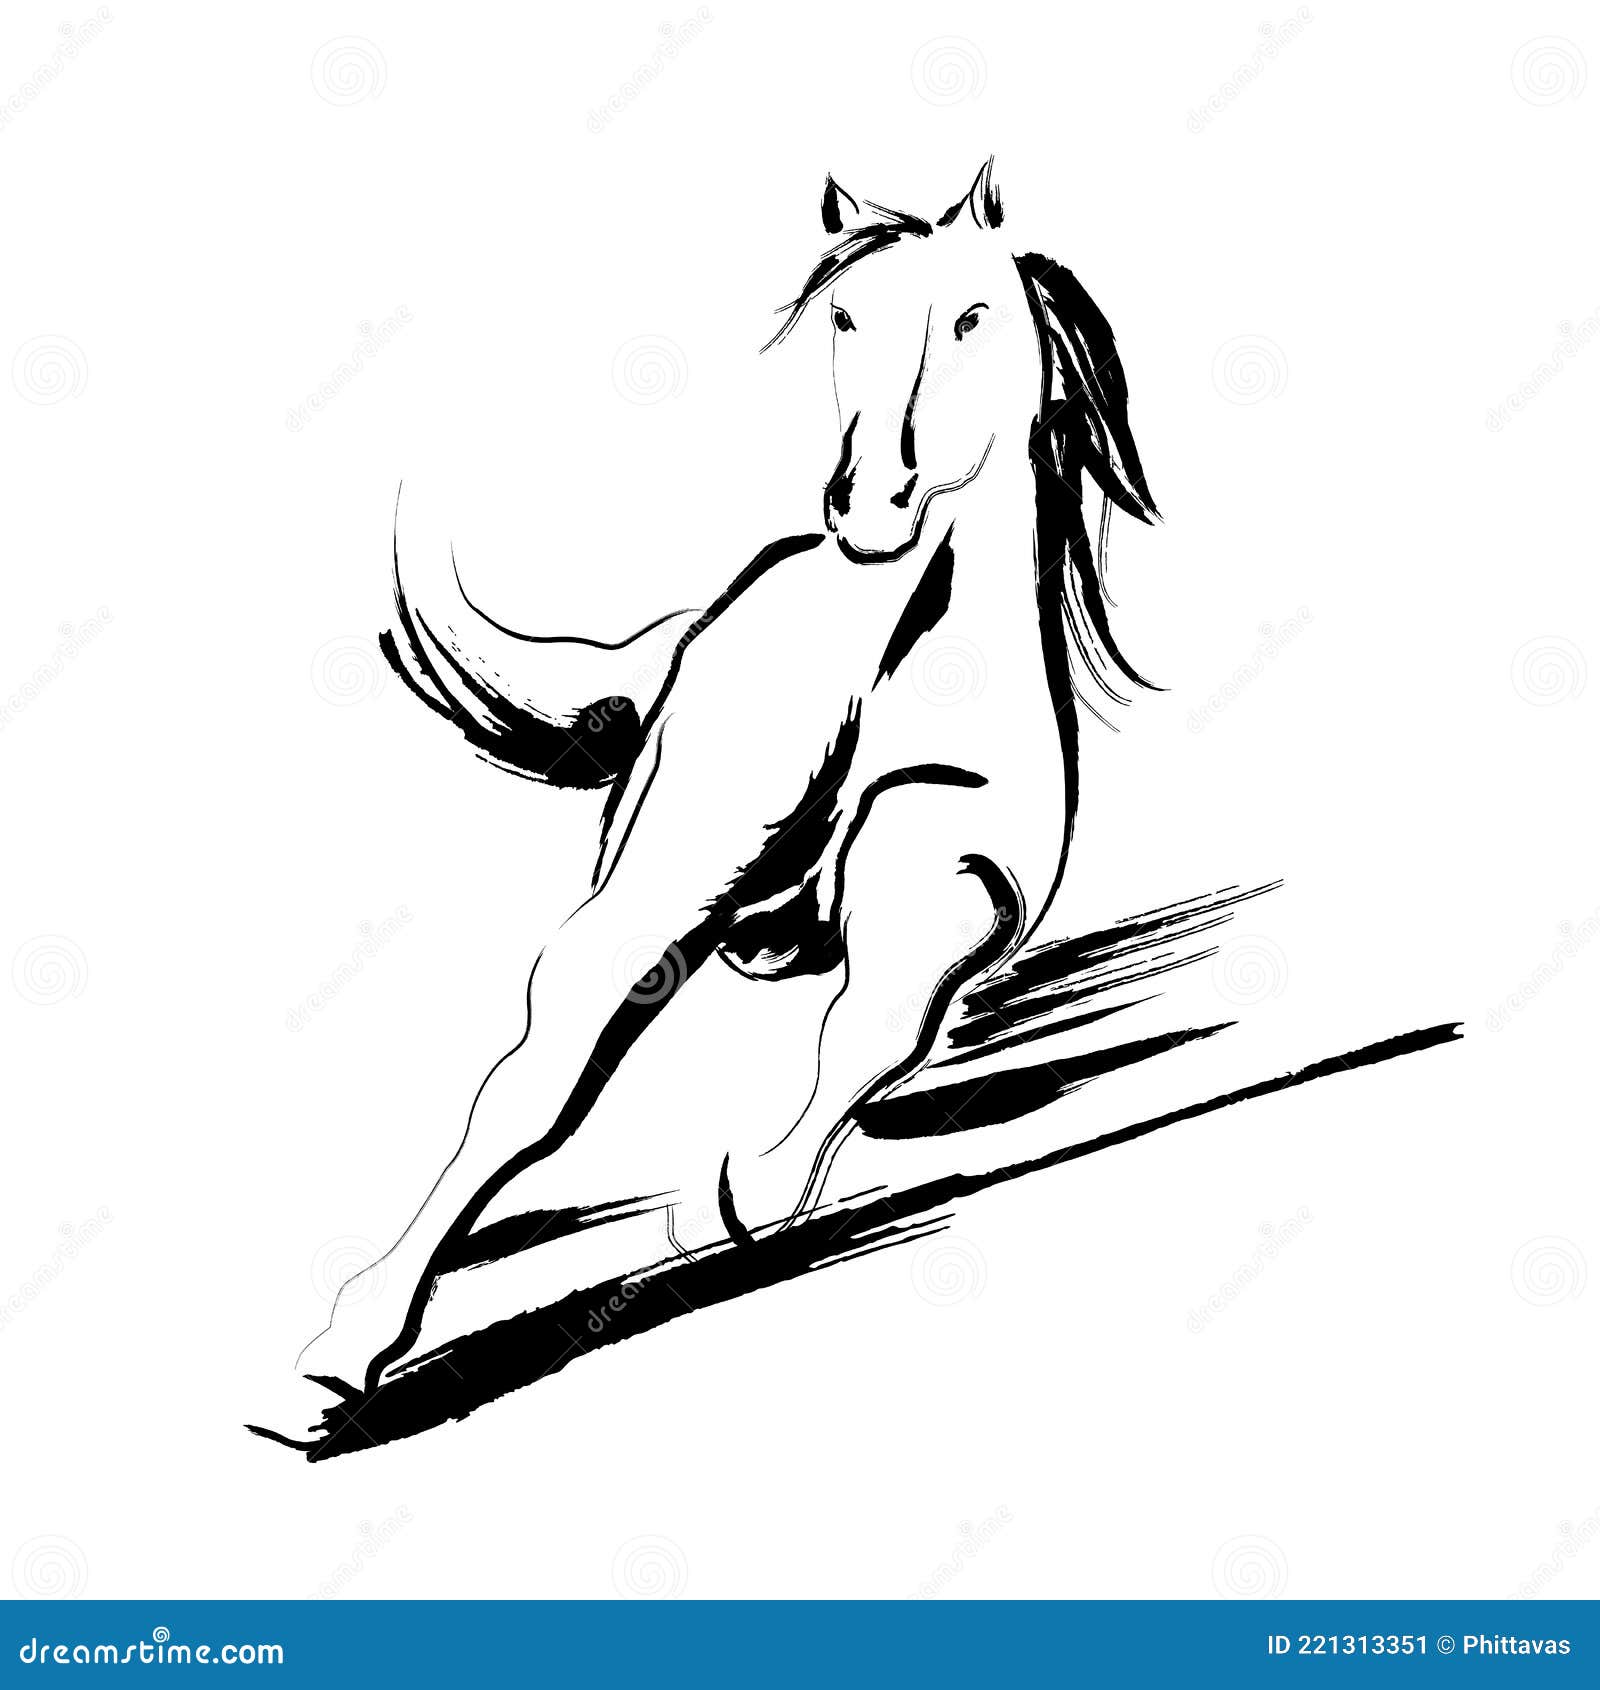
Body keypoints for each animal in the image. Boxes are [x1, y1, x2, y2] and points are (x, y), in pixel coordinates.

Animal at [293, 160, 1160, 1399]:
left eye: (973, 316)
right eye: (845, 319)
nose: (870, 501)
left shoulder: (954, 878)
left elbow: (880, 1026)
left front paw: (746, 1193)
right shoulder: (657, 893)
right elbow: (541, 1080)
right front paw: (360, 1330)